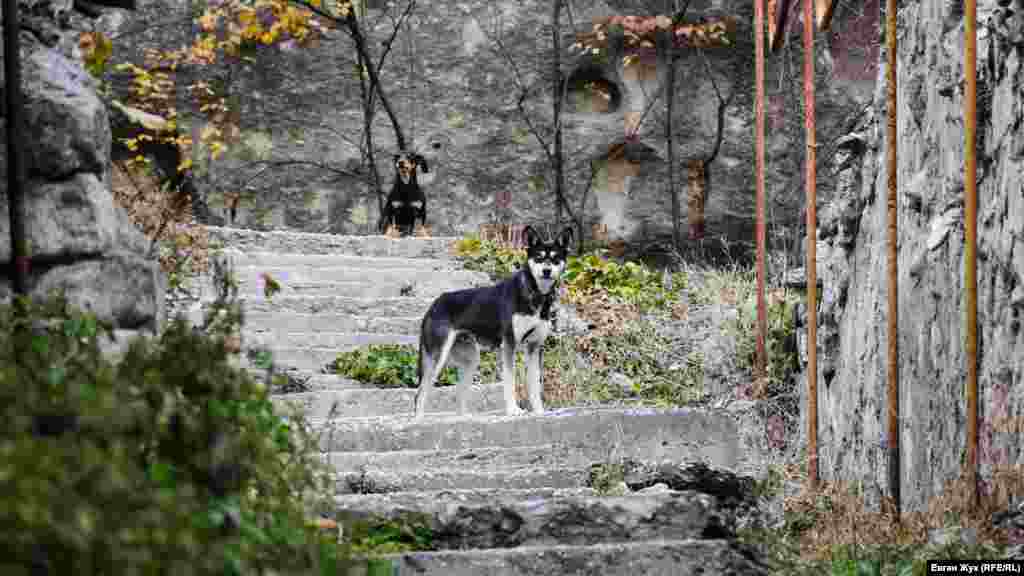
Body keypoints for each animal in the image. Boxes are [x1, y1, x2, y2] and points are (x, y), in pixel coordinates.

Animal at [415, 224, 577, 416]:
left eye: (555, 258)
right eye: (538, 257)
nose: (546, 271)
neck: (534, 294)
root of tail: (434, 304)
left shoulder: (534, 347)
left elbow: (534, 385)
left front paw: (539, 411)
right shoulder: (509, 345)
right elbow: (510, 381)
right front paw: (513, 410)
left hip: (471, 359)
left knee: (459, 392)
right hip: (438, 356)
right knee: (420, 394)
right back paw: (418, 420)